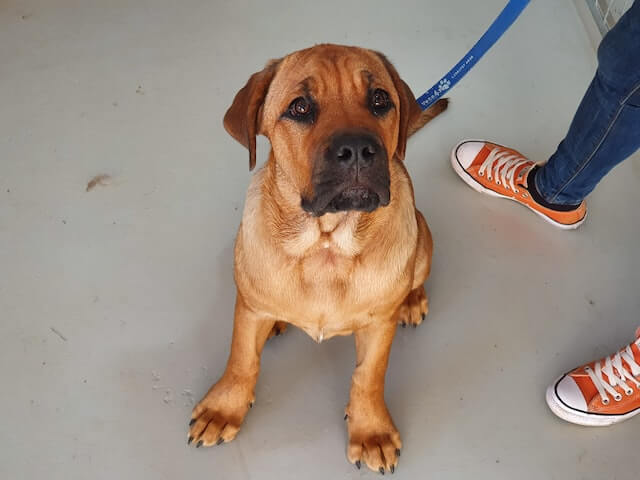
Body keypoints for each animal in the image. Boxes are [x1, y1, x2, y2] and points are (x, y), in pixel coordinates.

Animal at [188, 44, 448, 472]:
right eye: (300, 107)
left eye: (380, 100)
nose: (358, 150)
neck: (326, 245)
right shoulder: (249, 308)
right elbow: (242, 360)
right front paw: (224, 407)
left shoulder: (378, 326)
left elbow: (368, 377)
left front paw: (371, 431)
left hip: (423, 236)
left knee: (416, 275)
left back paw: (412, 299)